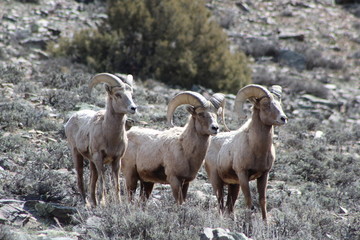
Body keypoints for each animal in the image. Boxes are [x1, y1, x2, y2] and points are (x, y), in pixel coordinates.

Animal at [64, 73, 137, 206]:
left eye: (131, 94)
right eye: (118, 95)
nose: (133, 108)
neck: (110, 137)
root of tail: (71, 119)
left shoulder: (116, 160)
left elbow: (116, 184)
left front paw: (117, 203)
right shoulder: (99, 157)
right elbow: (103, 180)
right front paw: (104, 203)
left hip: (91, 161)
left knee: (93, 180)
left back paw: (94, 203)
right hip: (76, 153)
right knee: (81, 177)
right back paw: (86, 203)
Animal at [205, 84, 286, 219]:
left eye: (279, 103)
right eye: (265, 104)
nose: (283, 118)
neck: (257, 150)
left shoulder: (264, 175)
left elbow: (262, 201)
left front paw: (265, 223)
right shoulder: (243, 175)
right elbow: (249, 202)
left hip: (233, 185)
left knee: (229, 206)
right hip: (217, 181)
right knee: (221, 203)